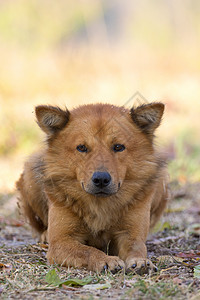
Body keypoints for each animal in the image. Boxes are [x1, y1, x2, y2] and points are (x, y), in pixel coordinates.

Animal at [16, 102, 170, 274]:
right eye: (82, 147)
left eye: (118, 147)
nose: (101, 179)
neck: (99, 205)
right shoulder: (60, 242)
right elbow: (87, 250)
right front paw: (105, 260)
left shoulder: (130, 233)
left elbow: (136, 247)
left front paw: (140, 261)